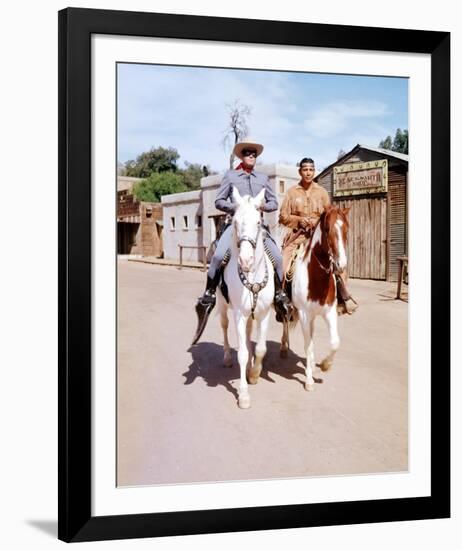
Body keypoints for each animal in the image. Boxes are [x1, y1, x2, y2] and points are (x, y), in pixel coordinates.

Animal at [217, 188, 274, 408]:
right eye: (234, 222)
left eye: (258, 222)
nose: (246, 260)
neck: (252, 276)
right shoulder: (239, 315)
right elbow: (241, 353)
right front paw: (243, 394)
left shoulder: (264, 314)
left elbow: (261, 348)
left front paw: (255, 373)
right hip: (222, 306)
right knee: (224, 326)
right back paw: (226, 358)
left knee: (250, 337)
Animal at [280, 206, 352, 392]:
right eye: (327, 229)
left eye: (346, 229)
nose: (341, 265)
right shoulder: (304, 315)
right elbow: (308, 345)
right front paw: (309, 380)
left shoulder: (330, 312)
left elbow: (334, 342)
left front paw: (325, 365)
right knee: (285, 323)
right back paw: (283, 348)